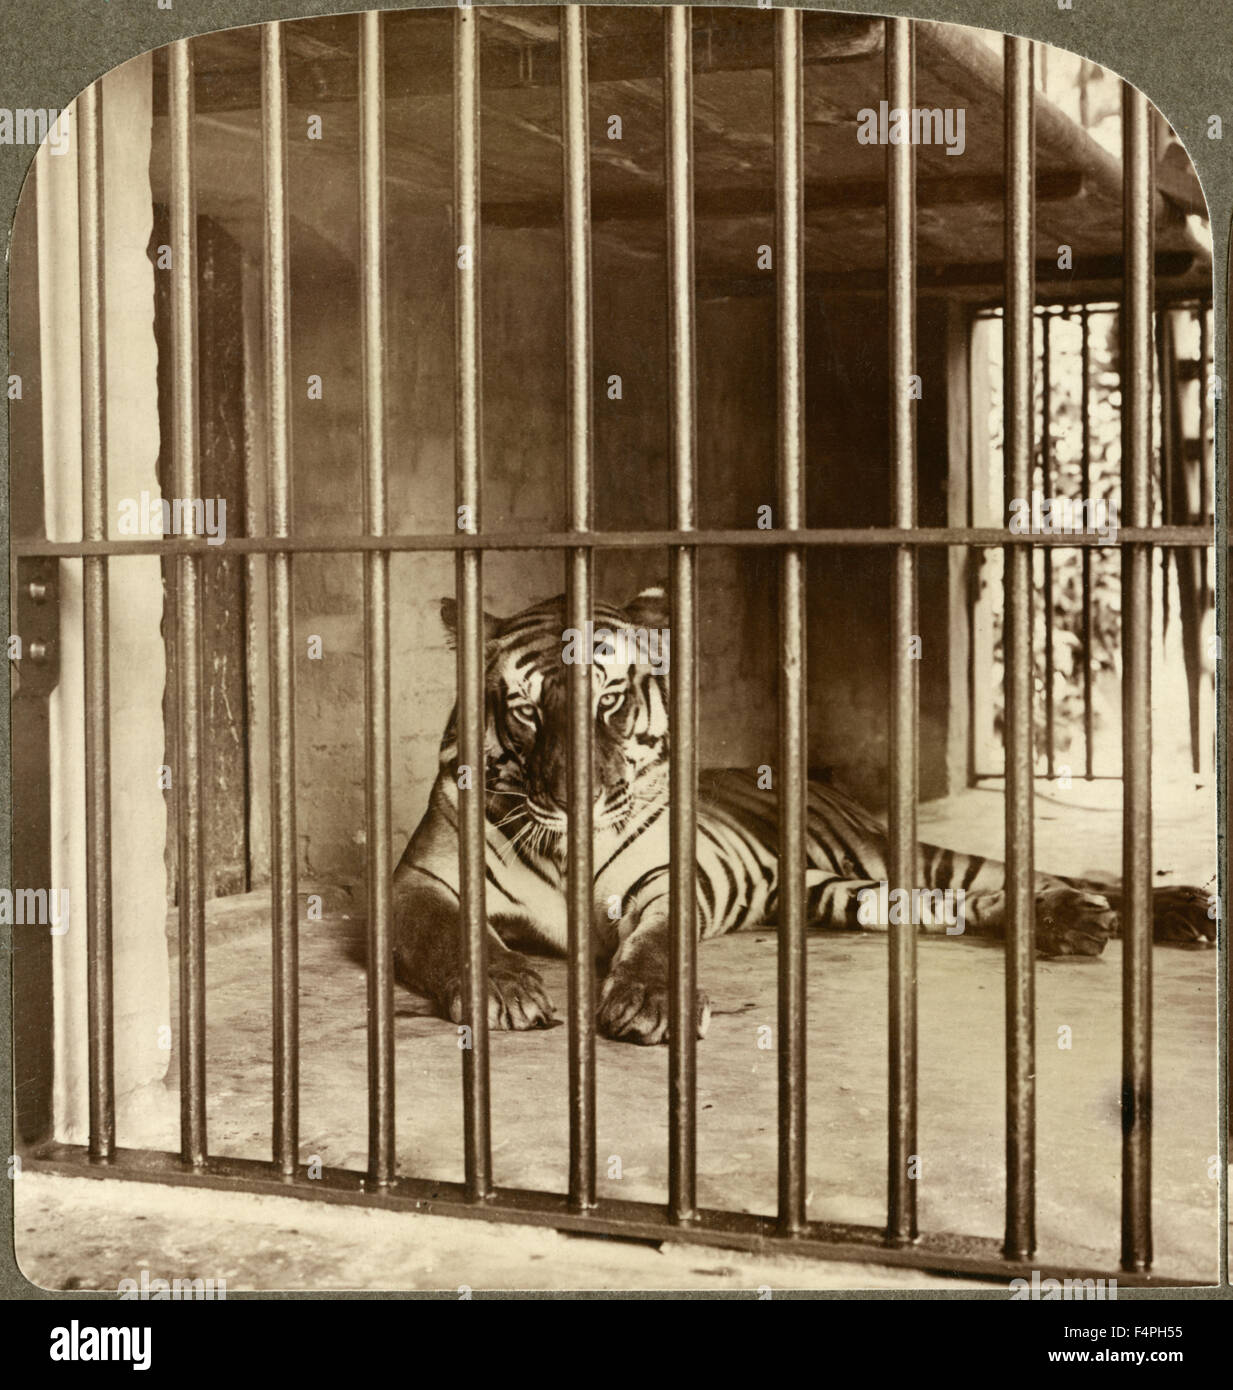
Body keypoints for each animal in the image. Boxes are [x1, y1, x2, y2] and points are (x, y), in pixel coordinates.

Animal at [394, 581, 1217, 1045]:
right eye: (527, 711)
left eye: (610, 700)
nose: (576, 799)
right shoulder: (419, 883)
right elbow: (451, 937)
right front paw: (503, 989)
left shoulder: (665, 885)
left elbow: (659, 947)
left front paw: (652, 1003)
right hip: (839, 891)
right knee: (952, 904)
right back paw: (1071, 926)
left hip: (902, 851)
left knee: (1036, 874)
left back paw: (1132, 912)